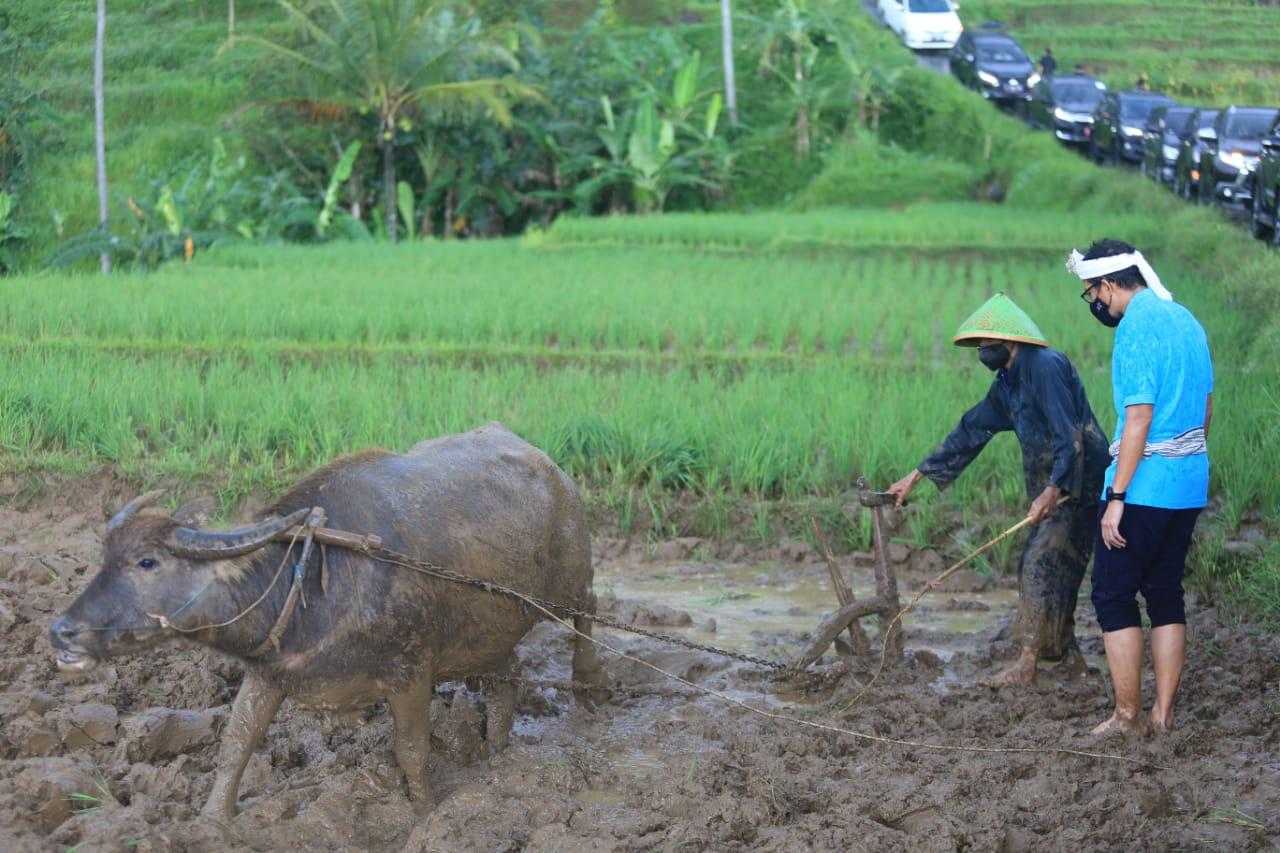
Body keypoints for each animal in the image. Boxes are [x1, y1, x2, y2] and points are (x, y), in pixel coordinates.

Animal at [48, 422, 604, 819]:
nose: (60, 631)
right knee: (506, 673)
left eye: (147, 562)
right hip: (488, 632)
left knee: (589, 617)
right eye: (103, 557)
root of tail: (551, 467)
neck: (312, 578)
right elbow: (236, 743)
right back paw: (496, 751)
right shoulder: (267, 675)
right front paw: (211, 821)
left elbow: (411, 750)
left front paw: (425, 814)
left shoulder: (410, 674)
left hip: (571, 586)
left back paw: (588, 695)